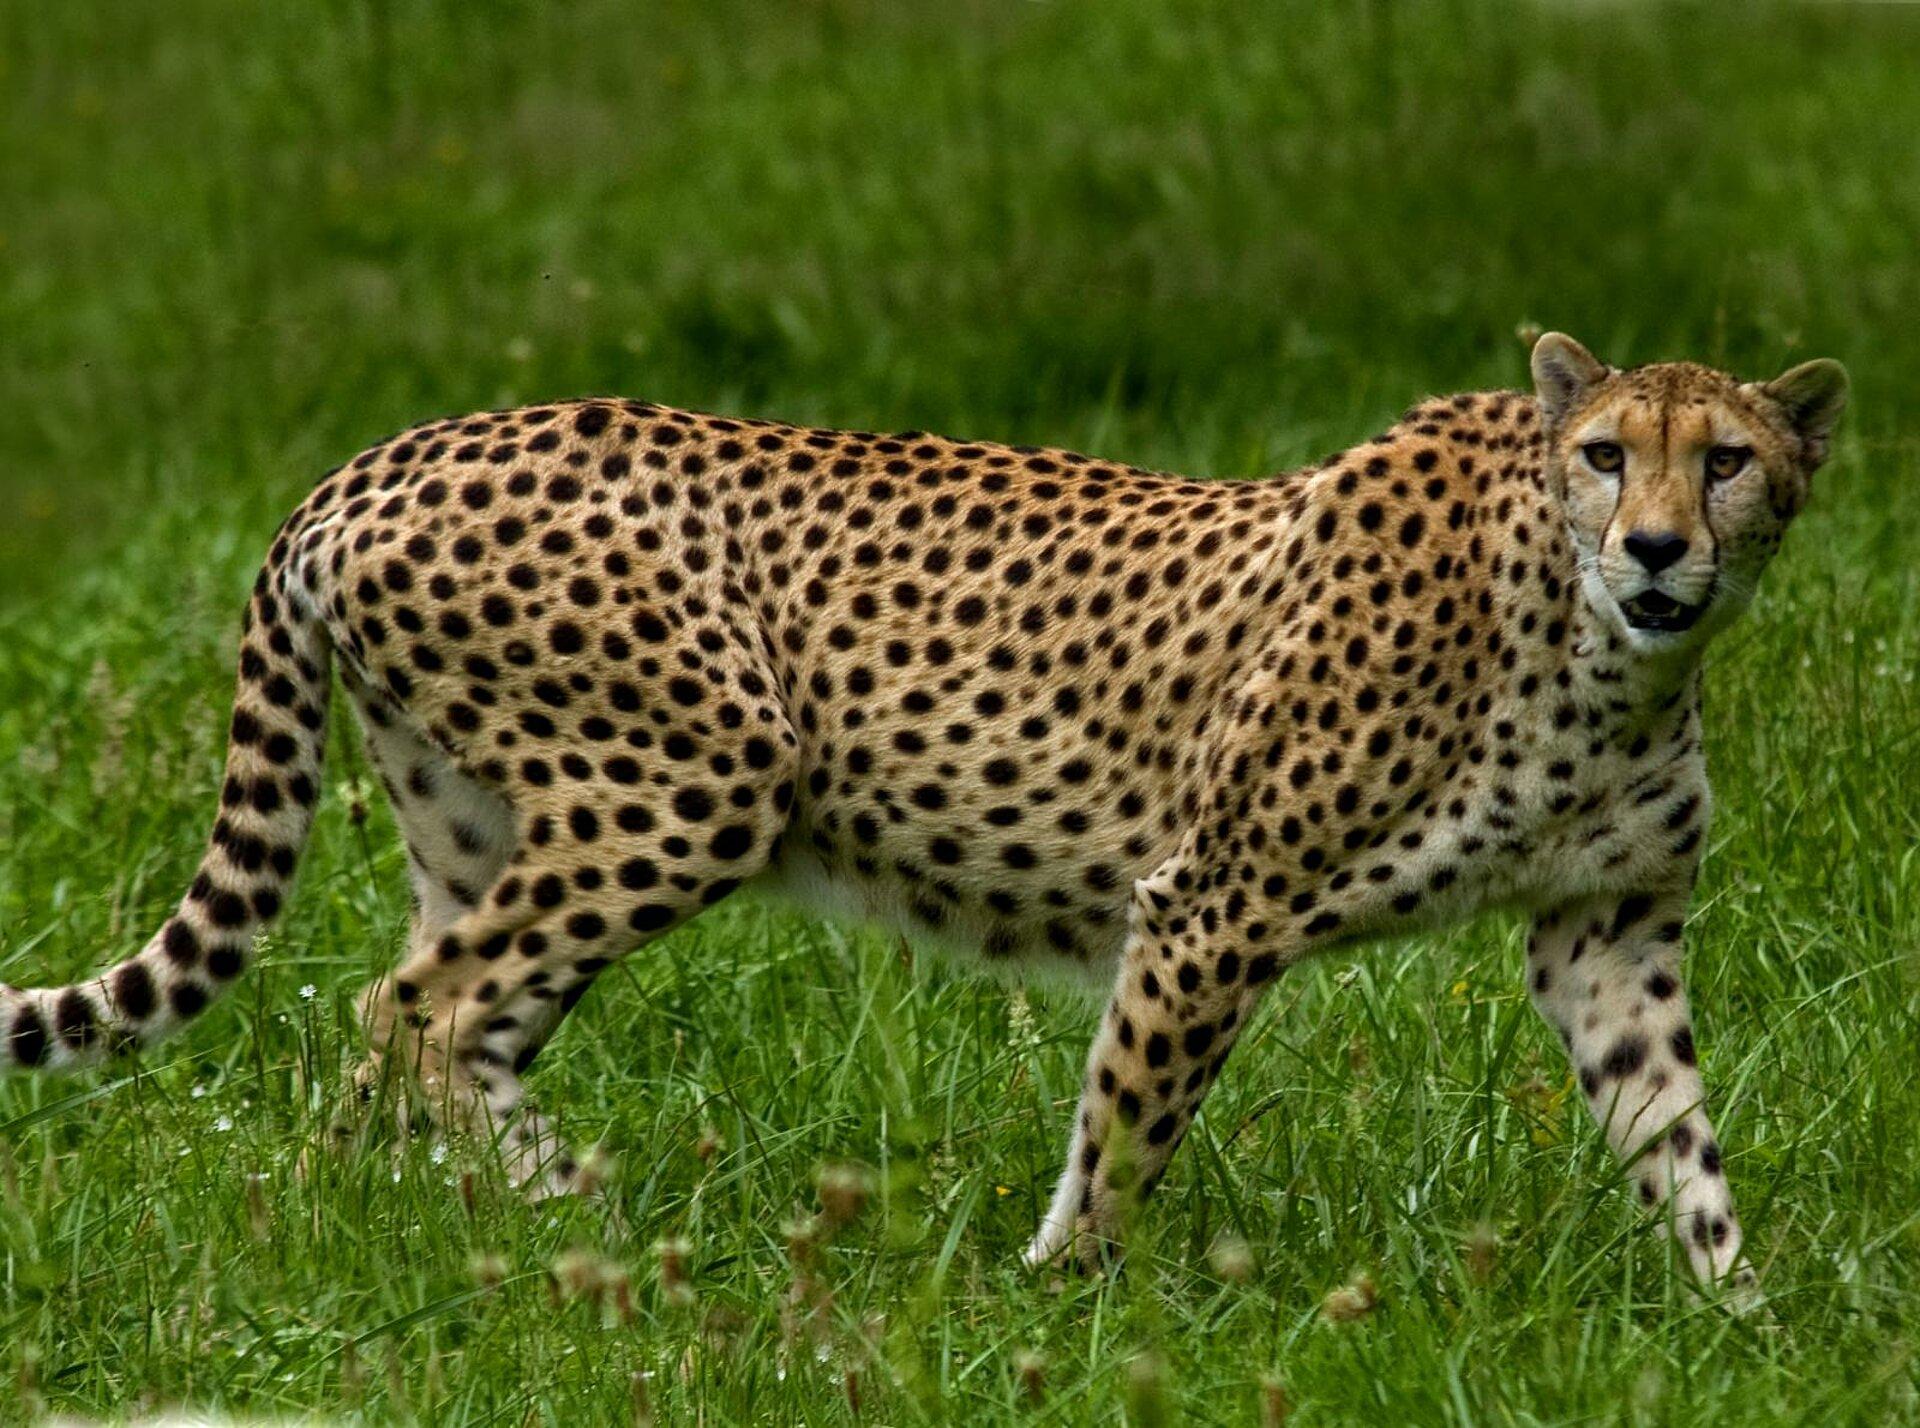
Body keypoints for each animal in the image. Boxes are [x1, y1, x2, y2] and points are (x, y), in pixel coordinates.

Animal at [7, 333, 1850, 1297]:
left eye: (1730, 458)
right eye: (1608, 453)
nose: (1661, 547)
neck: (1595, 641)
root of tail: (379, 456)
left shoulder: (1604, 934)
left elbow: (1676, 1135)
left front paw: (1742, 1320)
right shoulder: (1215, 901)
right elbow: (1130, 1114)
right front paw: (1068, 1298)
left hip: (482, 825)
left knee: (416, 1026)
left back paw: (404, 1236)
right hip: (694, 780)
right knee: (422, 1010)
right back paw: (579, 1228)